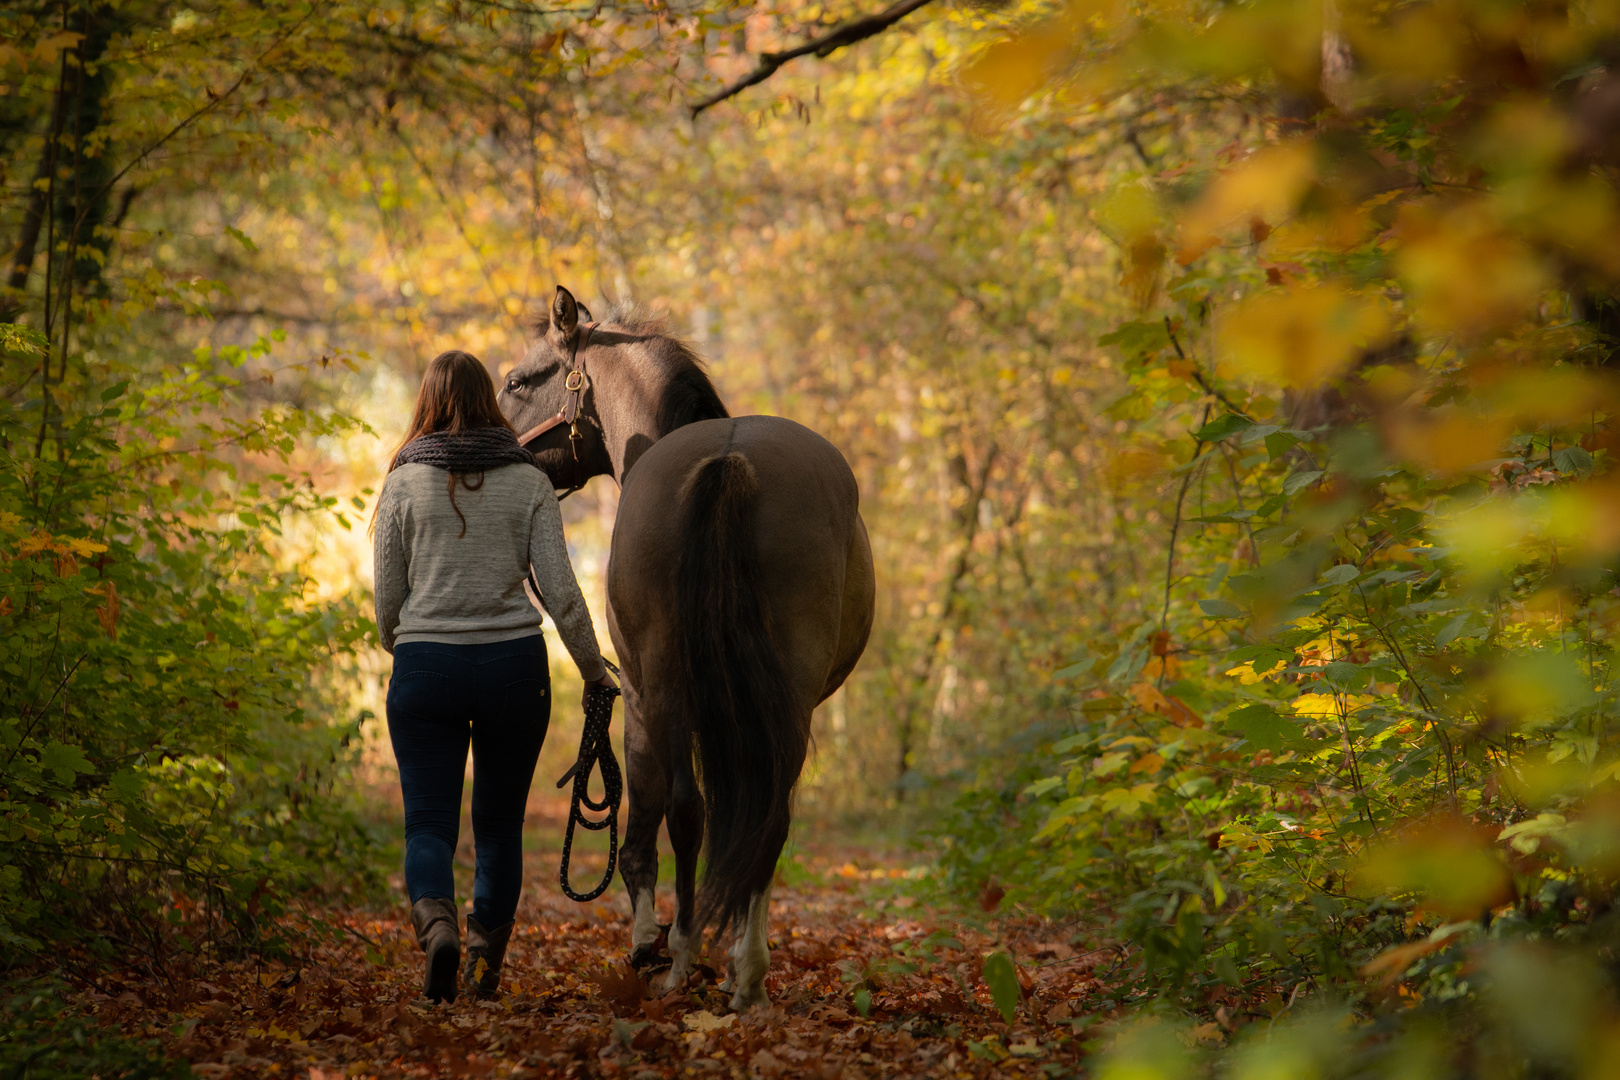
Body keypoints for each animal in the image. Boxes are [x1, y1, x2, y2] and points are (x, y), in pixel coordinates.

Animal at [495, 286, 874, 1016]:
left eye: (518, 381)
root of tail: (730, 461)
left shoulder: (640, 697)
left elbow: (642, 824)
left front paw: (648, 942)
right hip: (786, 698)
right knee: (767, 814)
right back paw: (745, 972)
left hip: (664, 686)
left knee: (683, 808)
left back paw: (685, 956)